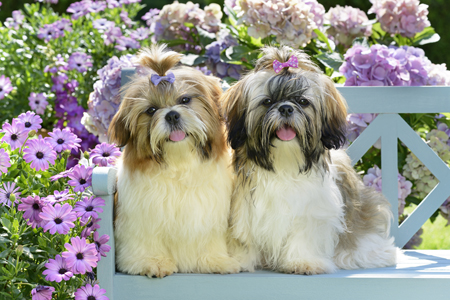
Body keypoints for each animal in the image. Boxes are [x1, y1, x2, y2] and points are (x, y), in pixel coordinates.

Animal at [108, 45, 241, 278]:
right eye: (151, 110)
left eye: (185, 100)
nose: (171, 115)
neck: (179, 163)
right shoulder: (141, 218)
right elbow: (145, 241)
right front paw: (152, 262)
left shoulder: (208, 215)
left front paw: (215, 261)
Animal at [223, 46, 396, 274]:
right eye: (267, 102)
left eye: (303, 102)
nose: (286, 108)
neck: (284, 166)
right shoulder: (246, 211)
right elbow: (245, 240)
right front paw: (240, 260)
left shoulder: (313, 212)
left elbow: (303, 235)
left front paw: (303, 262)